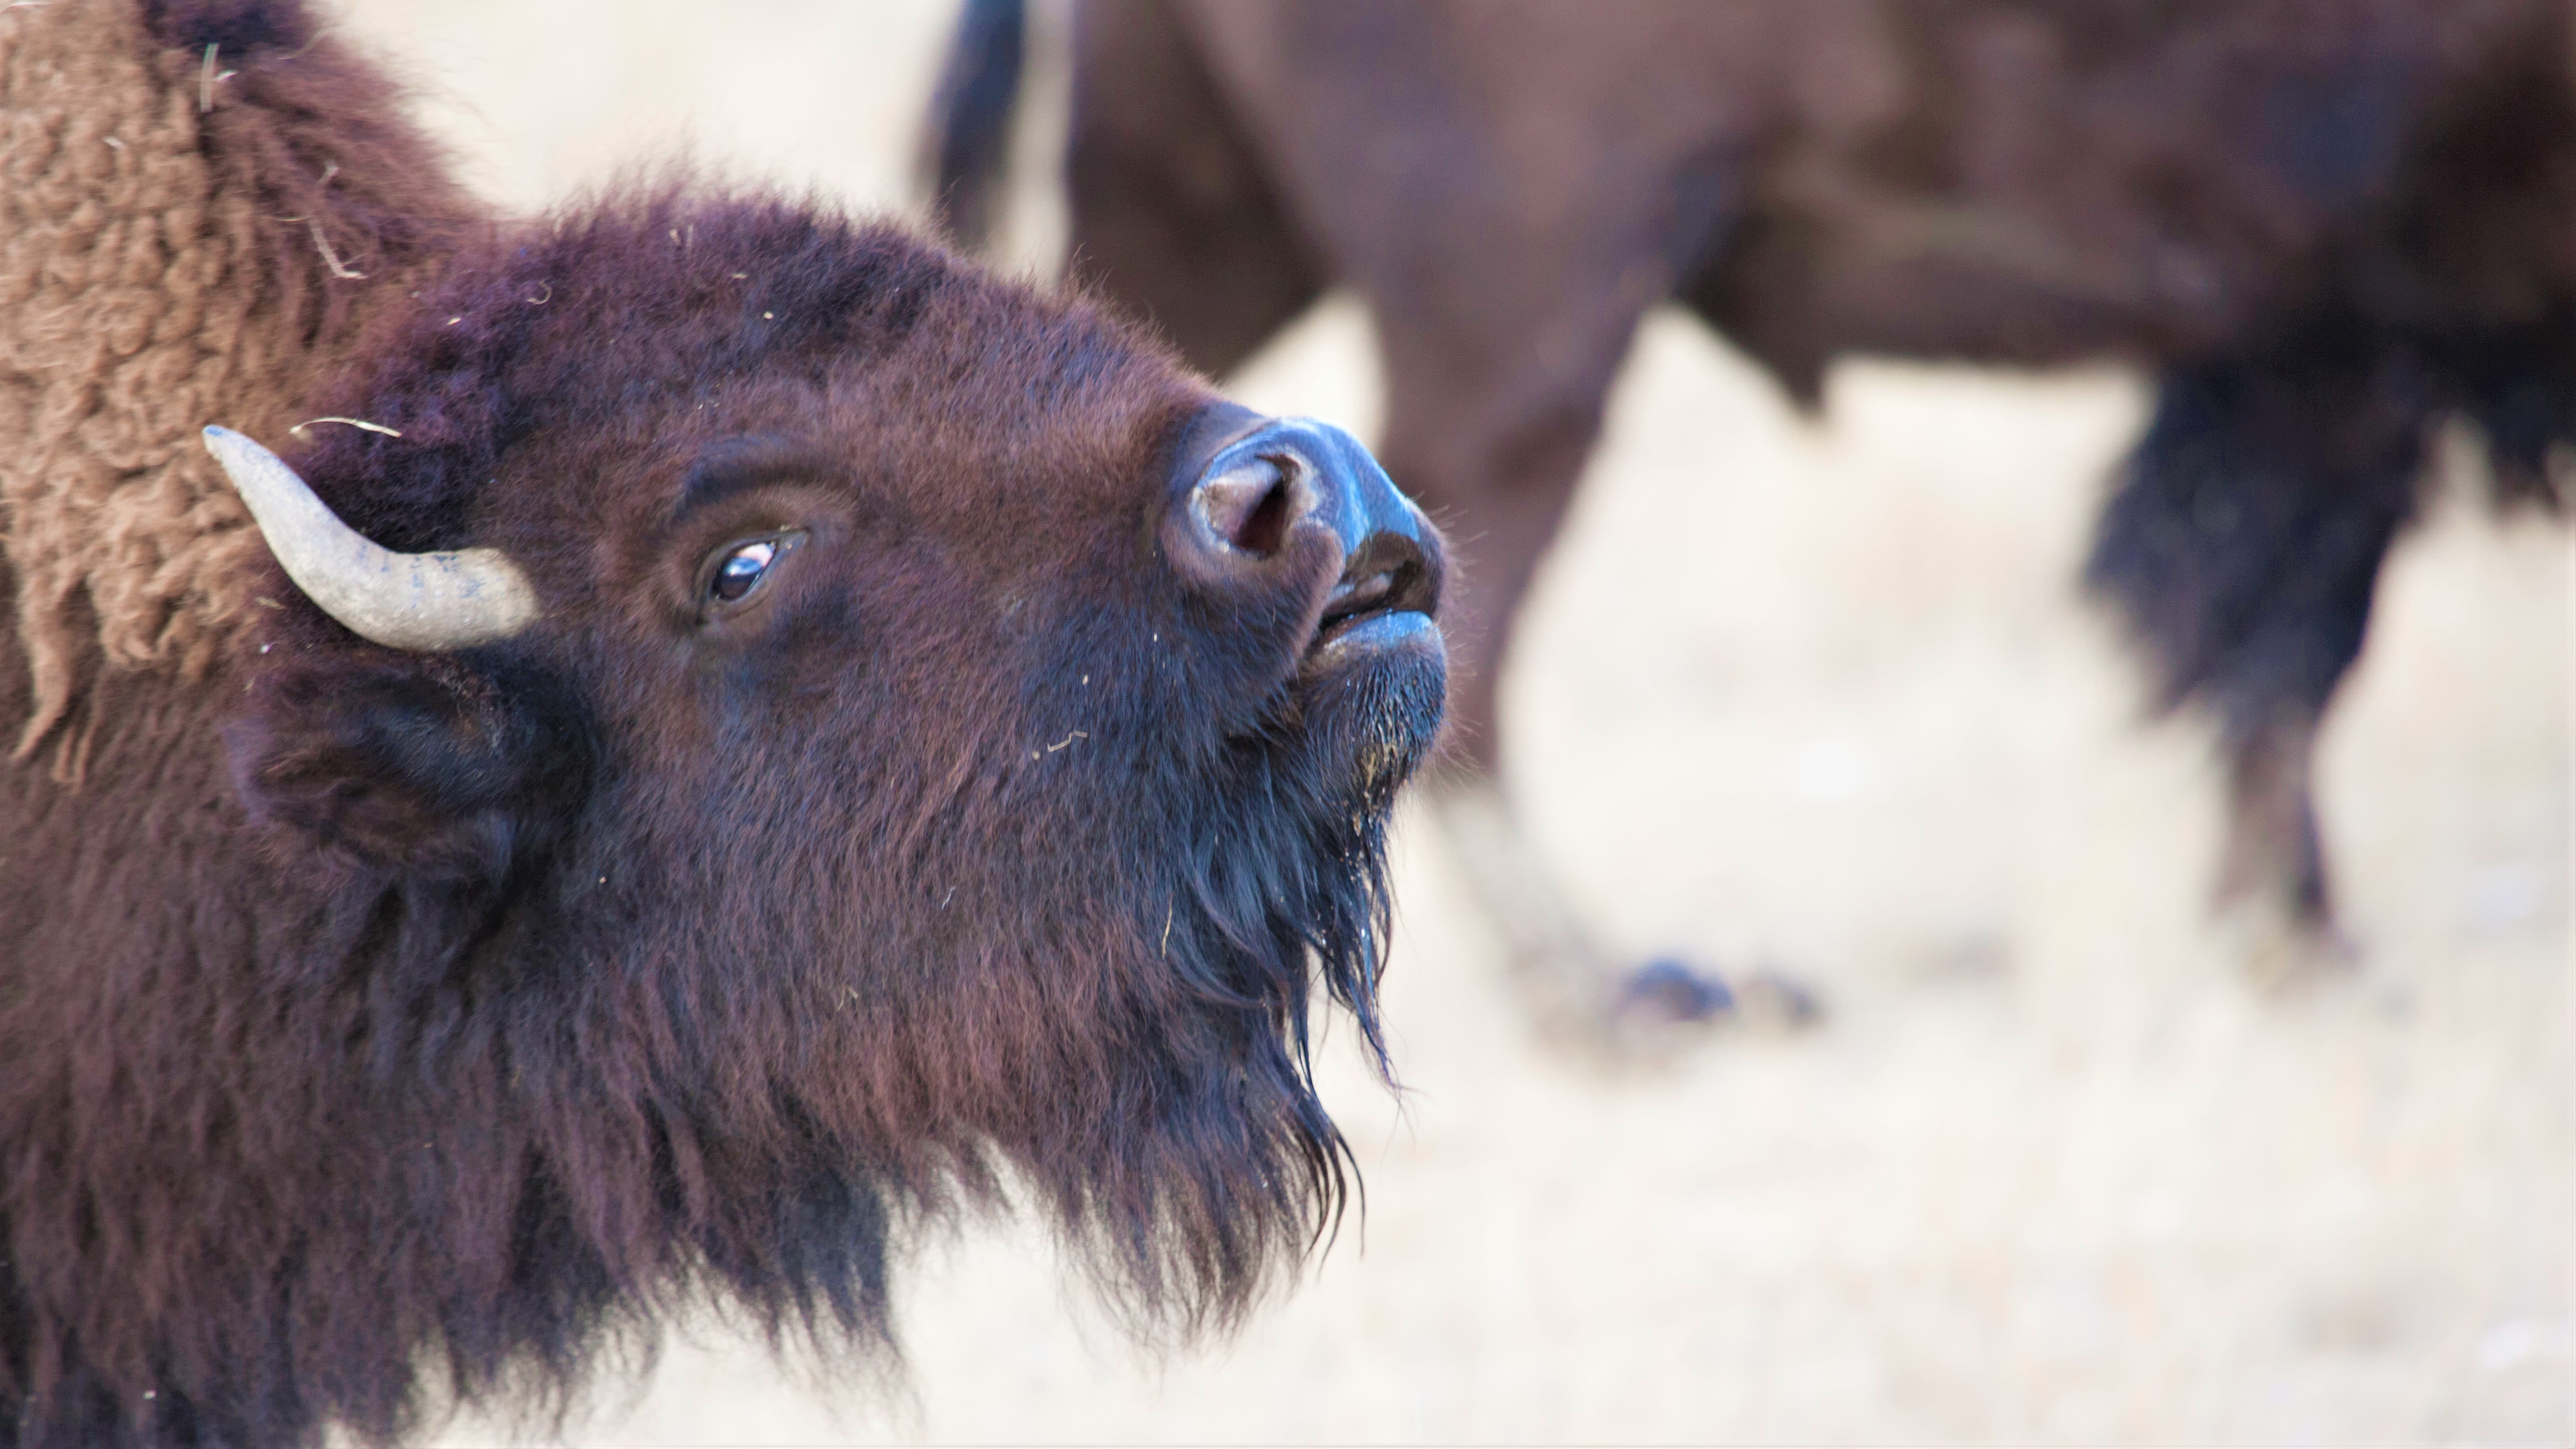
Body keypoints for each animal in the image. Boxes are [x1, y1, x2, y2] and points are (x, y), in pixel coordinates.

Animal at [927, 0, 2576, 1029]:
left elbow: (2274, 646)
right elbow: (2290, 644)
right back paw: (1633, 1001)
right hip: (1540, 316)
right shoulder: (2357, 320)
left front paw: (2291, 937)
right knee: (1463, 661)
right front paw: (2314, 948)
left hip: (1216, 228)